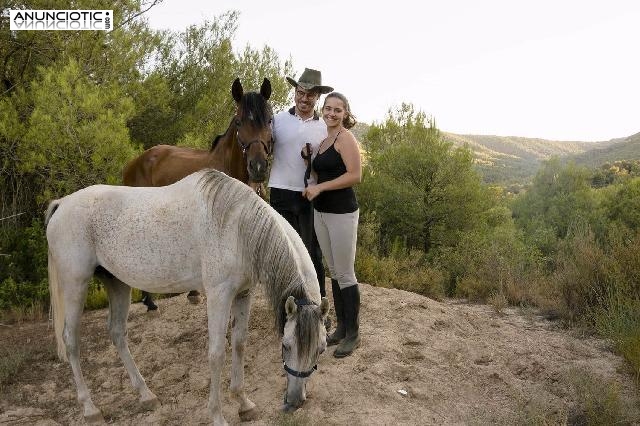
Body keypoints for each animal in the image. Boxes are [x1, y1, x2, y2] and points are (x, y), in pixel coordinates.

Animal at [45, 170, 330, 426]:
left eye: (321, 349)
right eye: (286, 346)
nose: (295, 401)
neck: (238, 227)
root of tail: (62, 204)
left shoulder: (243, 294)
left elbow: (239, 344)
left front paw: (243, 403)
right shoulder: (219, 296)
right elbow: (216, 353)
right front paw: (217, 416)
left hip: (117, 283)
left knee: (117, 333)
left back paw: (146, 395)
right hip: (75, 285)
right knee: (71, 341)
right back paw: (90, 409)